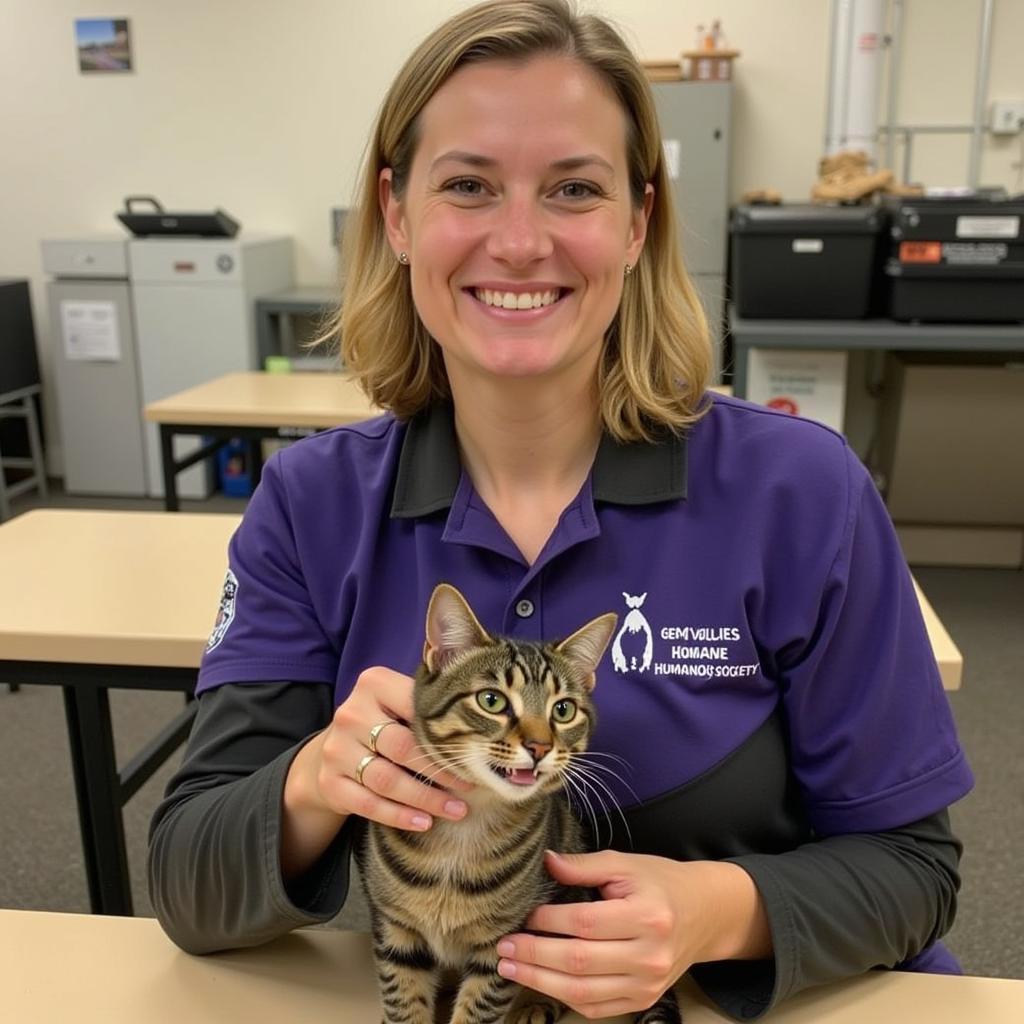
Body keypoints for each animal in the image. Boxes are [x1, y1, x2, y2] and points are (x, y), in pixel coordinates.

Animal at [356, 585, 684, 1024]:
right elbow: (403, 1003)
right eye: (491, 701)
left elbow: (477, 1010)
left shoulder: (504, 943)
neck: (466, 828)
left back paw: (534, 1004)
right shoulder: (396, 930)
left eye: (563, 709)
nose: (540, 746)